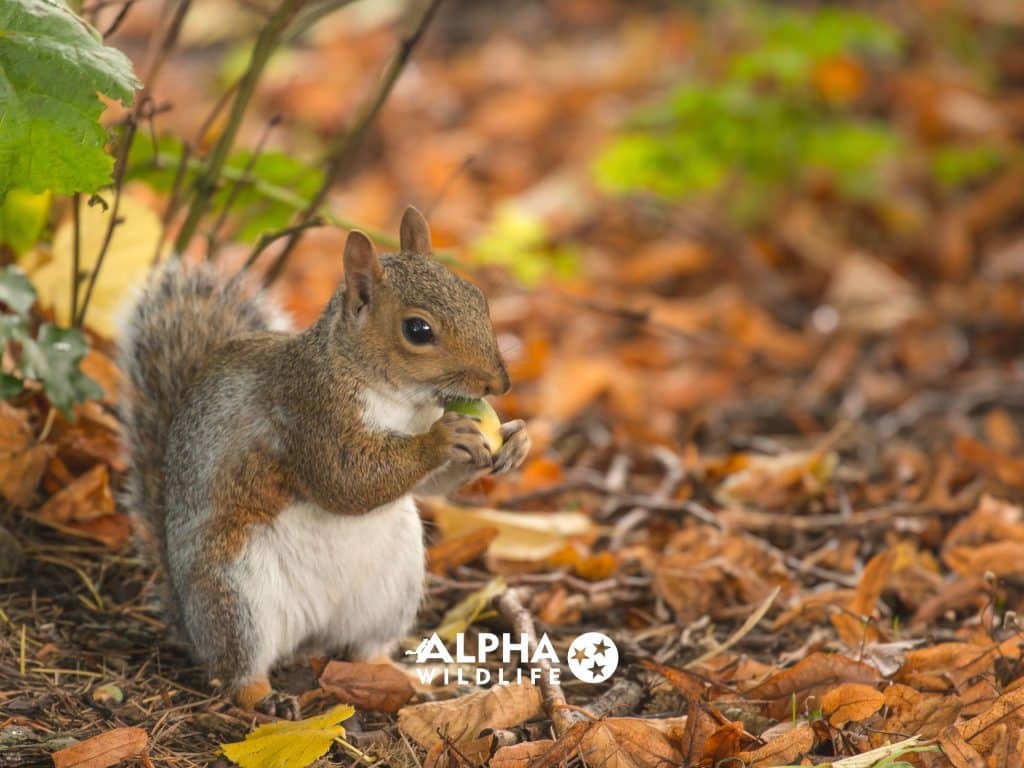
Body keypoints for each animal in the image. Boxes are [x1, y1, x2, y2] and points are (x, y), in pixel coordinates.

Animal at [119, 207, 528, 720]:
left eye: (478, 298)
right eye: (418, 330)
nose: (500, 384)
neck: (395, 398)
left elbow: (430, 488)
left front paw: (515, 441)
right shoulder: (309, 412)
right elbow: (344, 480)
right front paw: (442, 439)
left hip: (391, 588)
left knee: (366, 650)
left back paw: (410, 678)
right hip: (235, 592)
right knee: (238, 668)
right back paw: (265, 697)